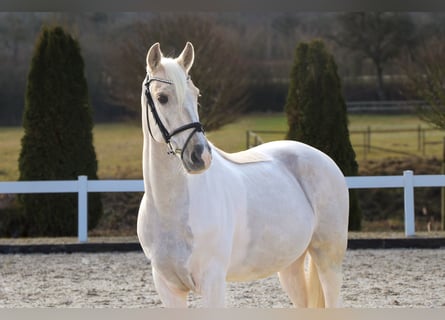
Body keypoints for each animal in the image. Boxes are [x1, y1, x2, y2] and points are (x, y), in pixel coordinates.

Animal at [137, 42, 348, 308]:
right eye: (161, 98)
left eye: (196, 95)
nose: (200, 156)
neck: (170, 210)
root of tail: (324, 159)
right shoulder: (168, 288)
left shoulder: (213, 282)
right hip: (290, 265)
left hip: (329, 260)